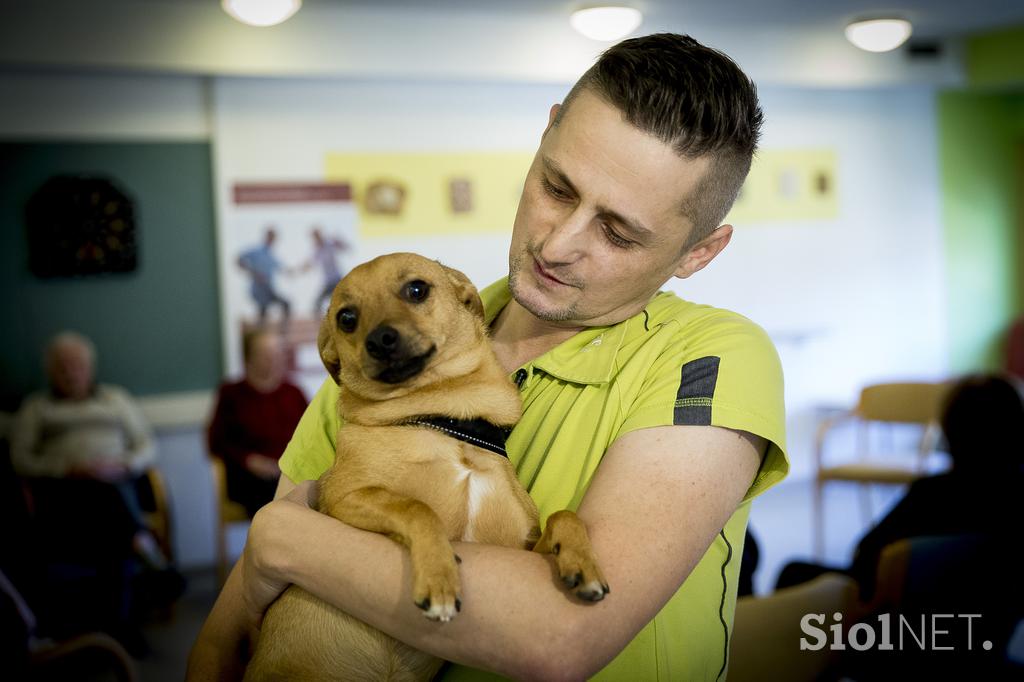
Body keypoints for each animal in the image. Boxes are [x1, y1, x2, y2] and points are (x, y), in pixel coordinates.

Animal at [245, 254, 606, 679]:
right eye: (346, 318)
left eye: (416, 289)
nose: (379, 339)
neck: (446, 415)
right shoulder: (344, 499)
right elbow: (416, 507)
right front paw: (440, 575)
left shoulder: (521, 547)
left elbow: (564, 516)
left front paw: (583, 562)